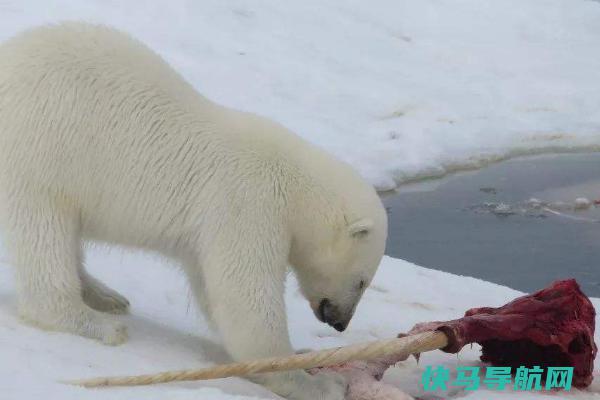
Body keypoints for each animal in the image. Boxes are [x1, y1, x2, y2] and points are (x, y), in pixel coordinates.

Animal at [0, 22, 386, 400]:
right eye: (362, 280)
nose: (340, 322)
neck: (296, 185)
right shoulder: (247, 202)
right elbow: (245, 300)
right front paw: (318, 381)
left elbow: (212, 290)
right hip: (40, 152)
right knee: (44, 232)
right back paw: (96, 321)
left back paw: (106, 295)